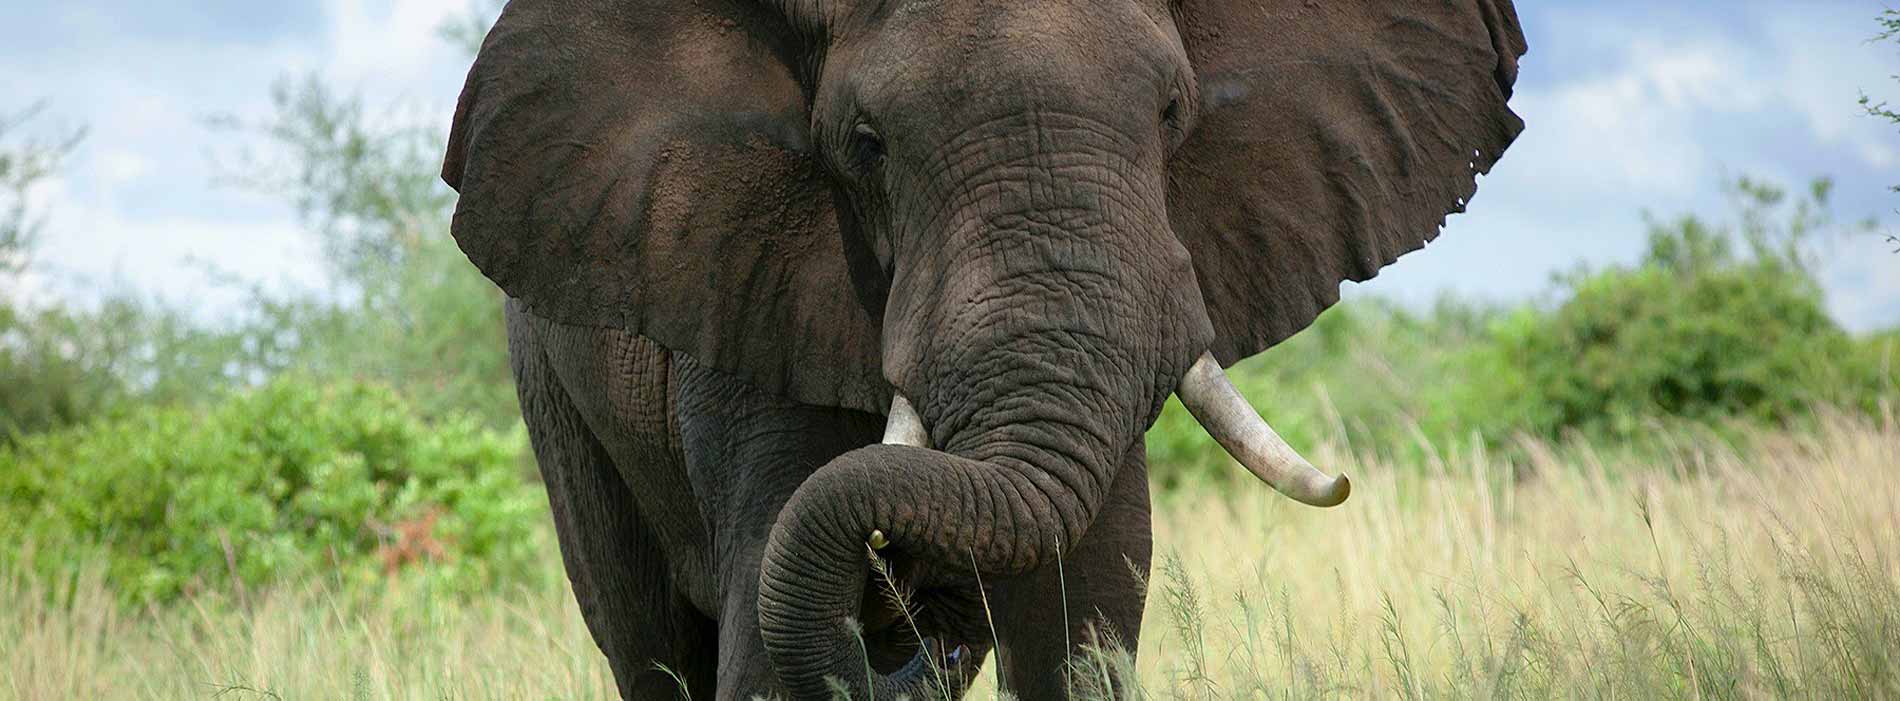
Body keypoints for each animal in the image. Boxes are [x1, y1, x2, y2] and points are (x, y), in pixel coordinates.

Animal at [440, 0, 1525, 698]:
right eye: (866, 143)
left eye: (1172, 112)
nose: (898, 573)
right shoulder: (741, 288)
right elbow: (764, 616)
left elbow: (1085, 607)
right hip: (553, 396)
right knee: (647, 643)